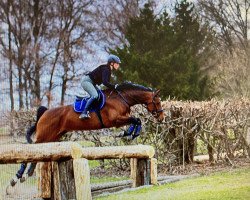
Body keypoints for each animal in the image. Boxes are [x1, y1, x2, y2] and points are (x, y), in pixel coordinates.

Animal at [10, 81, 164, 186]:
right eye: (157, 102)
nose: (162, 118)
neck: (121, 98)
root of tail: (45, 112)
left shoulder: (121, 119)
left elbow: (136, 120)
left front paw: (128, 133)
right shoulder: (114, 120)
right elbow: (136, 119)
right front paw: (128, 133)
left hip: (52, 137)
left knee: (37, 152)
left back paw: (27, 174)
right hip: (44, 135)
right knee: (32, 150)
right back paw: (17, 176)